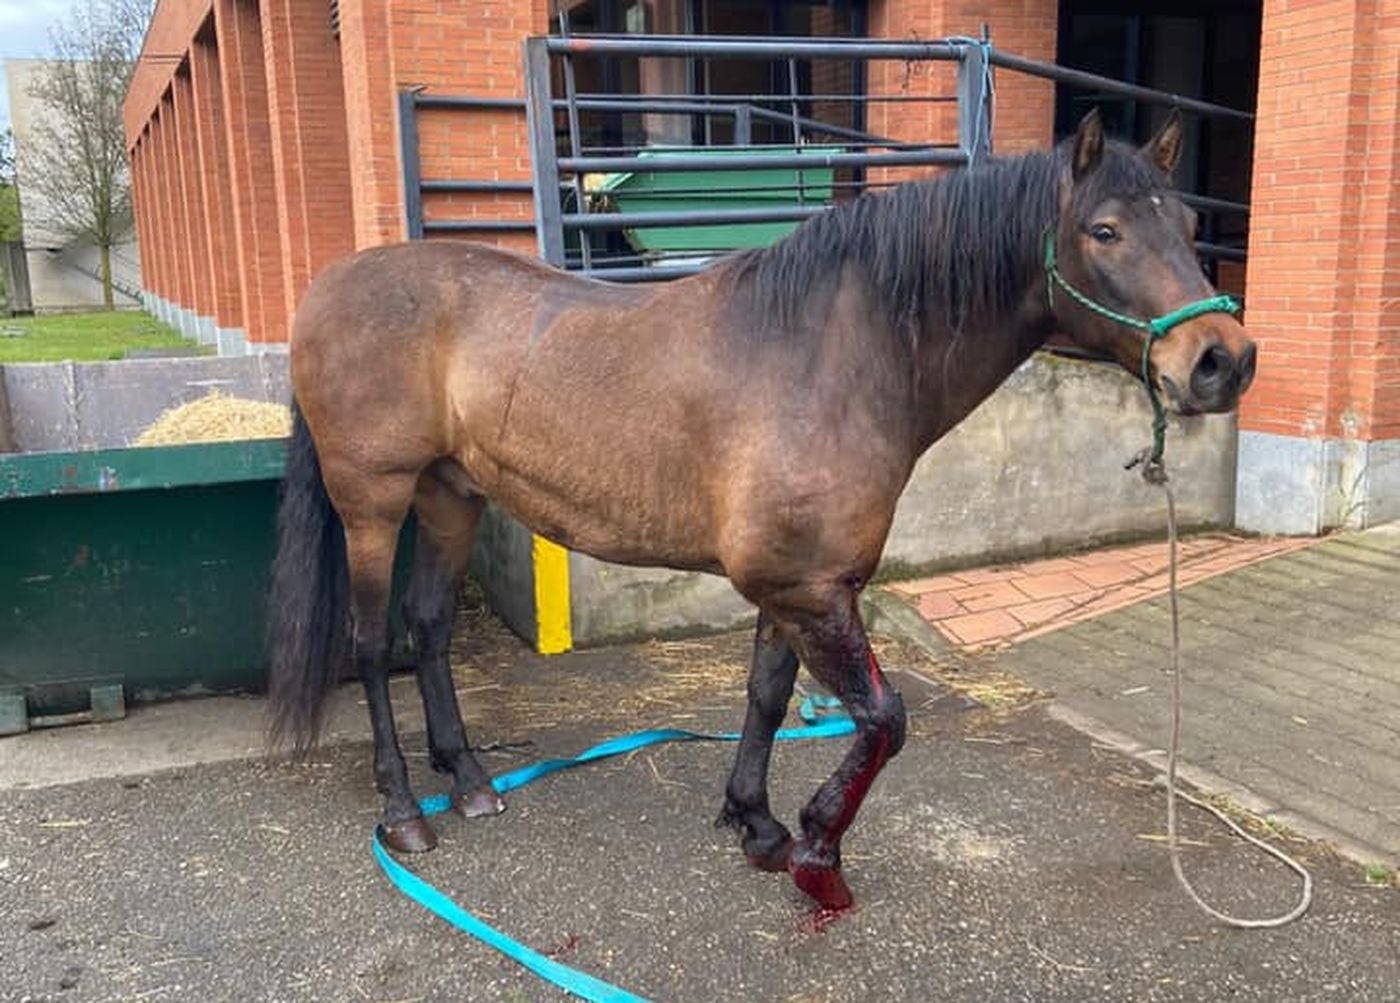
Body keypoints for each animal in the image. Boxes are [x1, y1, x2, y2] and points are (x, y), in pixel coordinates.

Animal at [264, 111, 1260, 918]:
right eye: (1105, 230)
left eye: (1190, 225)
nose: (1223, 360)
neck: (831, 353)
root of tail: (327, 288)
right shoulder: (806, 585)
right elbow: (885, 717)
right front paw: (819, 851)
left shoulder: (801, 585)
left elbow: (770, 695)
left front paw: (757, 822)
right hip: (374, 503)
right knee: (372, 647)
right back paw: (404, 811)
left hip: (451, 495)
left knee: (430, 627)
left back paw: (470, 780)